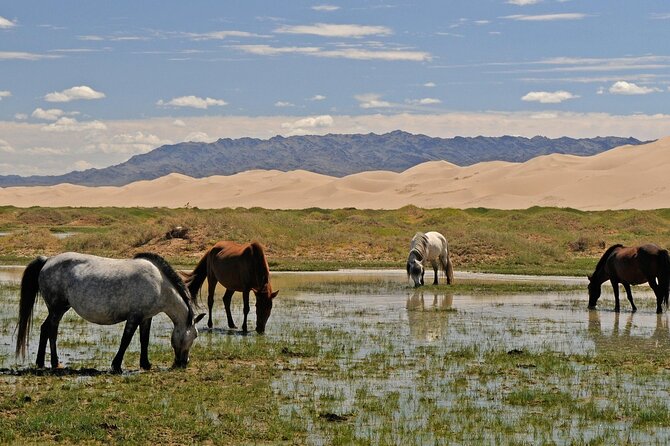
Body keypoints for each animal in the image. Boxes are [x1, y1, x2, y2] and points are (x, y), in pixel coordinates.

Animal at [15, 252, 205, 373]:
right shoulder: (134, 316)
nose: (184, 363)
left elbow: (144, 340)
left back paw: (40, 362)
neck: (159, 284)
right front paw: (116, 366)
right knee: (52, 331)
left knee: (44, 328)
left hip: (58, 309)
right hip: (57, 309)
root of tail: (48, 260)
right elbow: (126, 340)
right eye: (195, 335)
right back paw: (55, 363)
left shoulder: (146, 317)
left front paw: (146, 364)